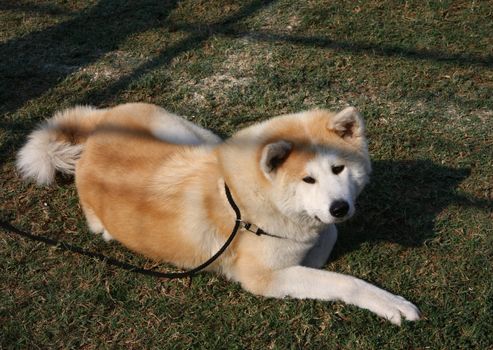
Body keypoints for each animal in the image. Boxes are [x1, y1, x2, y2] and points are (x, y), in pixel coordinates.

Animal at [18, 103, 418, 326]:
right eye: (308, 179)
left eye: (338, 169)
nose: (340, 207)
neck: (251, 198)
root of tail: (95, 132)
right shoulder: (263, 279)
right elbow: (342, 279)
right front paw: (390, 304)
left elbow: (326, 236)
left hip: (192, 137)